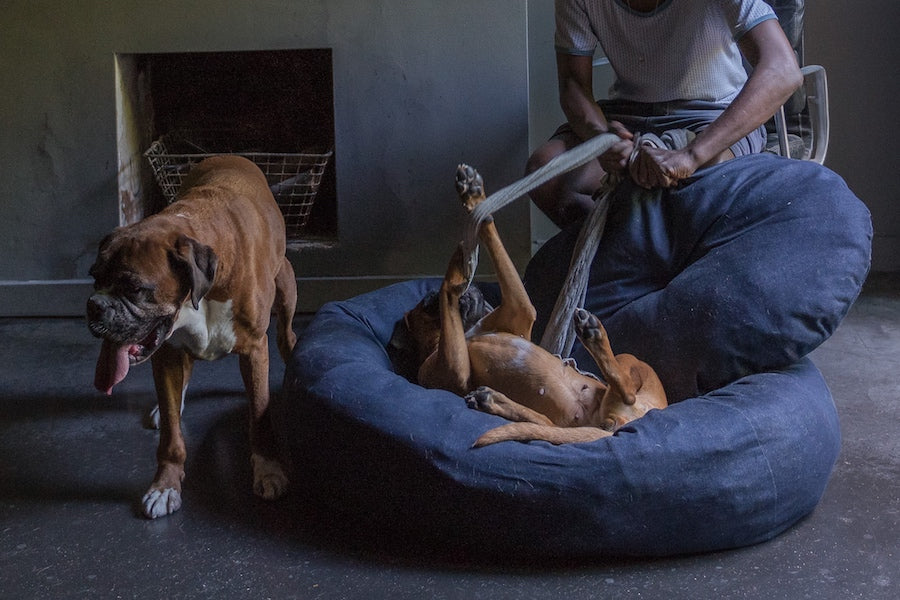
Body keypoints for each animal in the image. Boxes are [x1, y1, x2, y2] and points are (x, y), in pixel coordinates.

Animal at [85, 154, 298, 516]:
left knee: (287, 336)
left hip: (285, 285)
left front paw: (268, 468)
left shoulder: (255, 349)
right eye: (95, 278)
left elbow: (259, 415)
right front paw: (164, 485)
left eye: (135, 288)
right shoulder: (167, 355)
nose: (94, 305)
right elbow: (172, 431)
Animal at [396, 164, 668, 446]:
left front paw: (473, 196)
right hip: (610, 384)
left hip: (629, 364)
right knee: (575, 413)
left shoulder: (520, 308)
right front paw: (457, 264)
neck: (467, 331)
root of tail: (616, 426)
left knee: (623, 391)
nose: (472, 292)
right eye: (426, 302)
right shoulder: (454, 371)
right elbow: (448, 289)